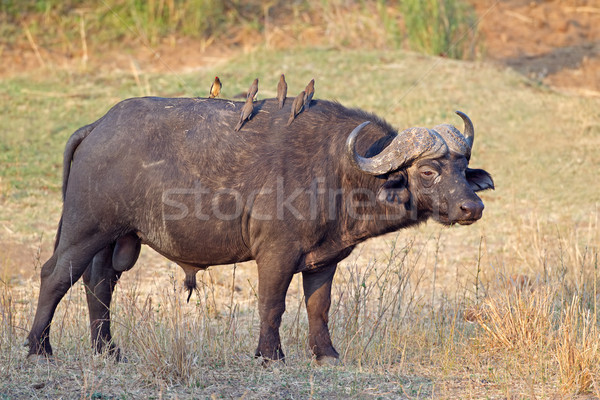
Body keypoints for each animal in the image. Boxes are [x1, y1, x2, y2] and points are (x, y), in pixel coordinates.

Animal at [27, 95, 492, 364]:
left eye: (463, 167)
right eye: (428, 171)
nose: (472, 207)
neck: (336, 170)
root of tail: (96, 127)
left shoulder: (324, 261)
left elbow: (318, 307)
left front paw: (326, 354)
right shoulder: (276, 254)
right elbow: (273, 305)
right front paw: (270, 355)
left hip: (118, 239)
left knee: (99, 283)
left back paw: (108, 351)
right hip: (86, 227)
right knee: (56, 275)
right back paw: (38, 348)